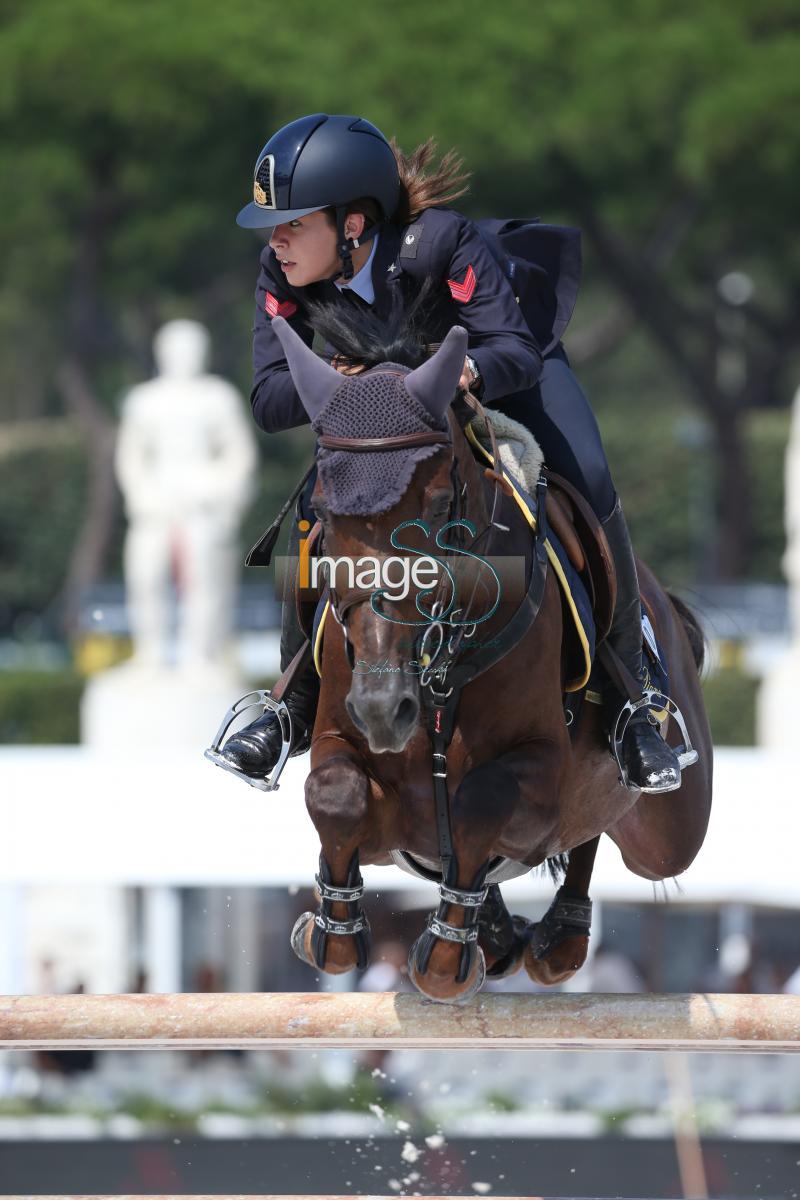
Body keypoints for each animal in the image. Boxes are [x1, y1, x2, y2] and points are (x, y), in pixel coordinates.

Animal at [268, 312, 714, 1003]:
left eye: (437, 507)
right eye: (324, 517)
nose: (383, 709)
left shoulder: (541, 774)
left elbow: (480, 801)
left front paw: (445, 958)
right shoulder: (339, 740)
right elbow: (335, 793)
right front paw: (332, 931)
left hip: (668, 831)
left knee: (603, 835)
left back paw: (555, 935)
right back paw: (506, 936)